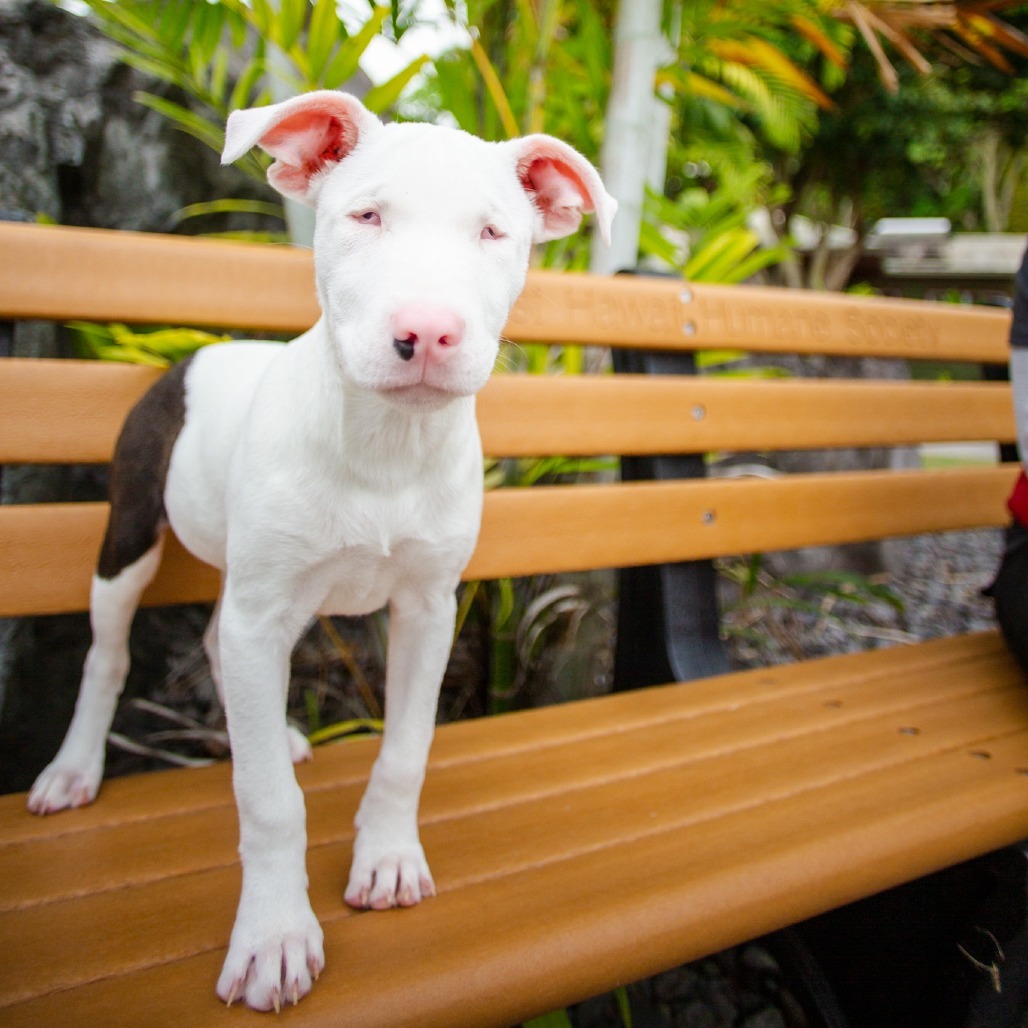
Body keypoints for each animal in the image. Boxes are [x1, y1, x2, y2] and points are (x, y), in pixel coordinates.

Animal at [28, 92, 612, 1007]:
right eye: (365, 216)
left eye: (493, 233)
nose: (428, 332)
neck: (384, 443)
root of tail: (195, 353)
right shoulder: (265, 611)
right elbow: (269, 801)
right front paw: (274, 935)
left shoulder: (427, 610)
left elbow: (406, 748)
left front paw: (388, 857)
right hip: (129, 536)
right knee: (110, 654)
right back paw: (75, 768)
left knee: (213, 637)